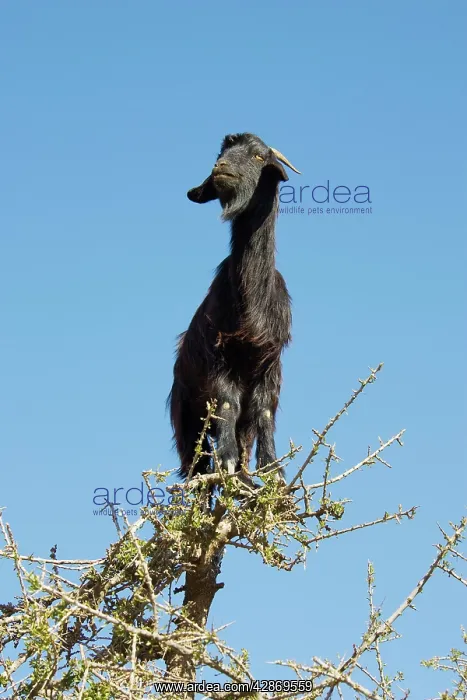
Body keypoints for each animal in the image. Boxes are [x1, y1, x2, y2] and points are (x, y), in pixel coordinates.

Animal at [168, 133, 300, 483]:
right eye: (221, 155)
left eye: (258, 156)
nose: (221, 168)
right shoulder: (219, 357)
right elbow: (228, 405)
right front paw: (227, 462)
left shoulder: (269, 362)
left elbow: (264, 412)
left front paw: (272, 472)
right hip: (186, 419)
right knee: (197, 466)